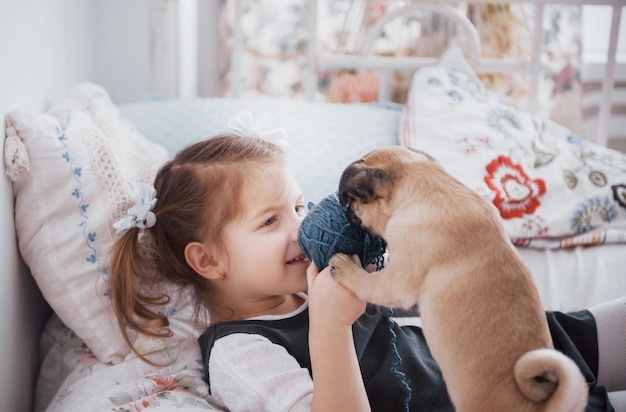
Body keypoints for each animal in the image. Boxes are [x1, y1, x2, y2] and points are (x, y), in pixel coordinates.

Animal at [330, 147, 588, 412]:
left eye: (352, 199)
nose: (345, 210)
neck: (428, 186)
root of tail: (540, 406)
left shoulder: (396, 281)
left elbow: (369, 283)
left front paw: (347, 269)